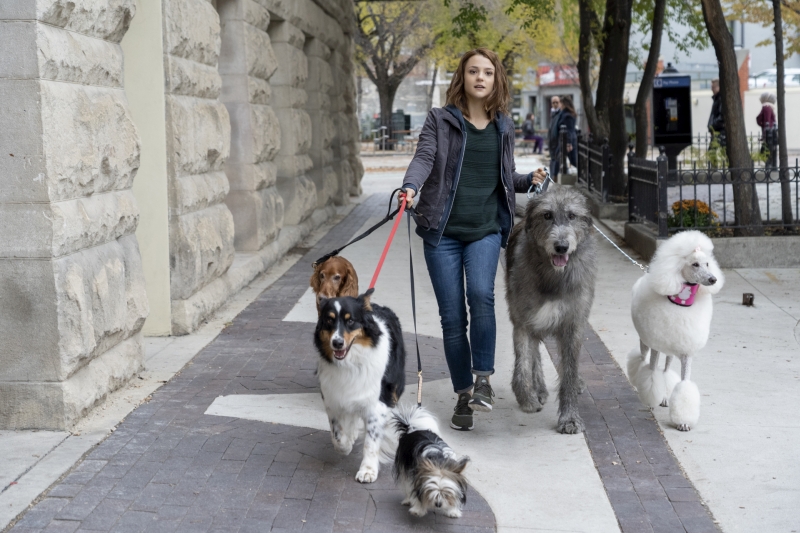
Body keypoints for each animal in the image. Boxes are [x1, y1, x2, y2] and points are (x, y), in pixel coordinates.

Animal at [316, 290, 406, 482]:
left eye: (350, 321)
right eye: (329, 320)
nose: (337, 343)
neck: (351, 363)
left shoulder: (377, 402)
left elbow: (371, 441)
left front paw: (368, 470)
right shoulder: (333, 398)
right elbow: (338, 437)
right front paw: (347, 443)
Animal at [504, 184, 596, 432]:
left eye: (572, 216)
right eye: (547, 215)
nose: (561, 246)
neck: (554, 276)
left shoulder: (573, 324)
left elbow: (569, 370)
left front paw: (569, 417)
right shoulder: (523, 320)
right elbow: (523, 361)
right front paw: (526, 396)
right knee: (534, 352)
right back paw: (538, 389)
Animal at [632, 231, 724, 430]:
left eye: (707, 263)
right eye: (695, 264)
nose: (713, 279)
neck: (681, 300)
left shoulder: (686, 351)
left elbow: (684, 383)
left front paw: (683, 421)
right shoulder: (655, 345)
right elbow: (651, 373)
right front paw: (650, 400)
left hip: (670, 350)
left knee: (666, 370)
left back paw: (665, 397)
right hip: (645, 342)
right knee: (642, 360)